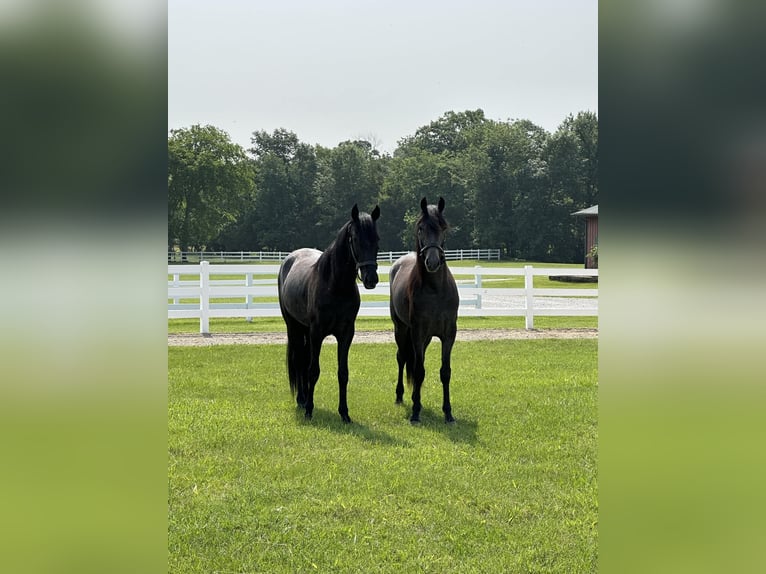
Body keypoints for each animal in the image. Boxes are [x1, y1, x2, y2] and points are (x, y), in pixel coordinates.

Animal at [280, 204, 380, 424]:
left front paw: (344, 413)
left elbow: (343, 373)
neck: (336, 285)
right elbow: (313, 371)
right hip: (294, 327)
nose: (371, 279)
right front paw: (309, 410)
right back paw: (302, 400)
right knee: (300, 360)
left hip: (306, 330)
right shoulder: (317, 332)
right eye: (356, 239)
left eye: (377, 239)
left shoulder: (346, 334)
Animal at [390, 200, 462, 426]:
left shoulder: (448, 335)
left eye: (443, 228)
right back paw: (400, 396)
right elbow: (419, 370)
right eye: (421, 228)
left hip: (426, 338)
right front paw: (415, 412)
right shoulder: (418, 333)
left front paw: (448, 413)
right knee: (402, 358)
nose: (432, 262)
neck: (435, 290)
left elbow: (445, 372)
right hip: (401, 329)